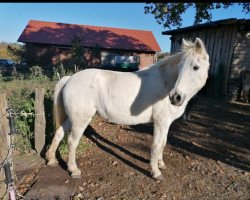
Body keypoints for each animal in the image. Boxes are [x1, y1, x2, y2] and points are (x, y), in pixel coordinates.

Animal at [46, 37, 210, 180]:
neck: (166, 82)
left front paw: (161, 164)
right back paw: (74, 170)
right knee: (72, 141)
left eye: (196, 67)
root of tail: (70, 78)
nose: (175, 97)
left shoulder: (166, 123)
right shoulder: (160, 122)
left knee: (59, 133)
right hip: (80, 120)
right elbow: (156, 145)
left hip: (72, 118)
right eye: (180, 68)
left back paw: (51, 159)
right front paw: (156, 172)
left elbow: (163, 143)